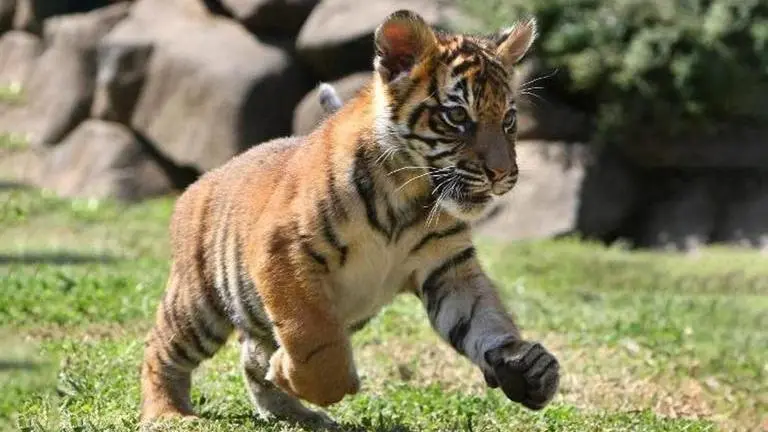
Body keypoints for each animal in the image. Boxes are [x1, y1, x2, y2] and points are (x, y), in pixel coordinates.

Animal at [140, 9, 560, 427]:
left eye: (508, 119)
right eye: (457, 115)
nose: (502, 173)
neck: (412, 196)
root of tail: (203, 180)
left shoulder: (448, 268)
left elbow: (483, 318)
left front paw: (525, 366)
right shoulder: (283, 252)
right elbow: (317, 344)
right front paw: (293, 371)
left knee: (249, 360)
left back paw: (296, 413)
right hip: (199, 305)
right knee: (160, 348)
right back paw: (168, 413)